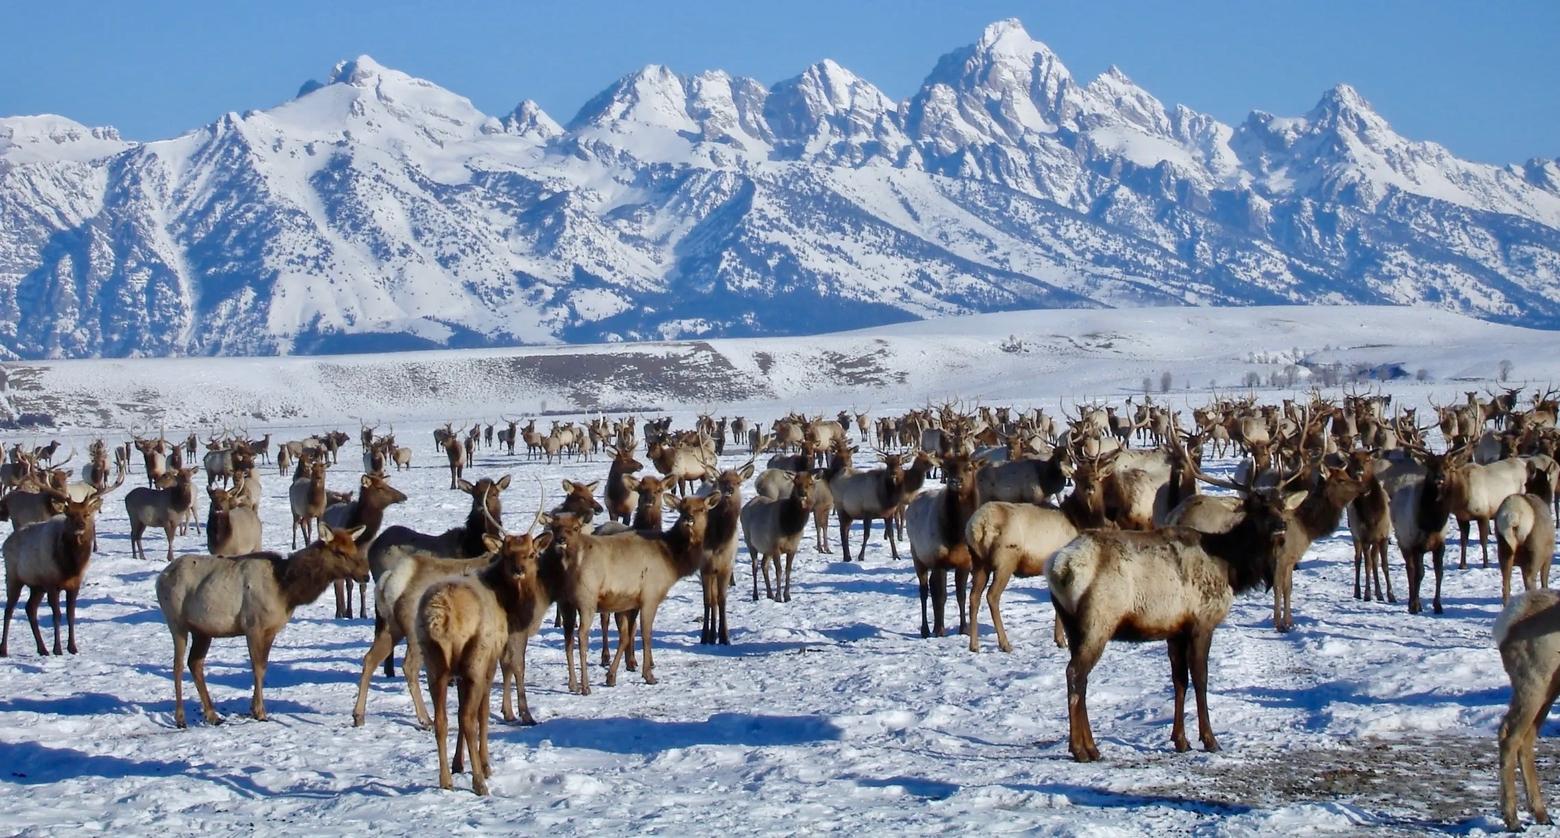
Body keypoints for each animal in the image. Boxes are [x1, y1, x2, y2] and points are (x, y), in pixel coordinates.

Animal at [156, 524, 366, 724]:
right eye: (339, 551)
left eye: (354, 547)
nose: (365, 575)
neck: (286, 589)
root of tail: (160, 578)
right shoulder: (253, 626)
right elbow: (257, 668)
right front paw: (260, 712)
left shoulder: (271, 629)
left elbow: (264, 667)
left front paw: (254, 709)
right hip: (176, 621)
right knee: (178, 665)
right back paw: (181, 718)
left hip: (203, 630)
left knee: (195, 663)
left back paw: (212, 715)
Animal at [1048, 474, 1304, 761]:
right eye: (1257, 507)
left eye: (1281, 505)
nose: (1281, 526)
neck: (1231, 567)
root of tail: (1059, 569)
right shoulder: (1202, 622)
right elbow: (1201, 679)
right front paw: (1210, 740)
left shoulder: (1175, 630)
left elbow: (1179, 680)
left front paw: (1181, 740)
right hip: (1097, 622)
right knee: (1075, 674)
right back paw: (1081, 749)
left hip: (1072, 624)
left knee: (1080, 679)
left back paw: (1089, 746)